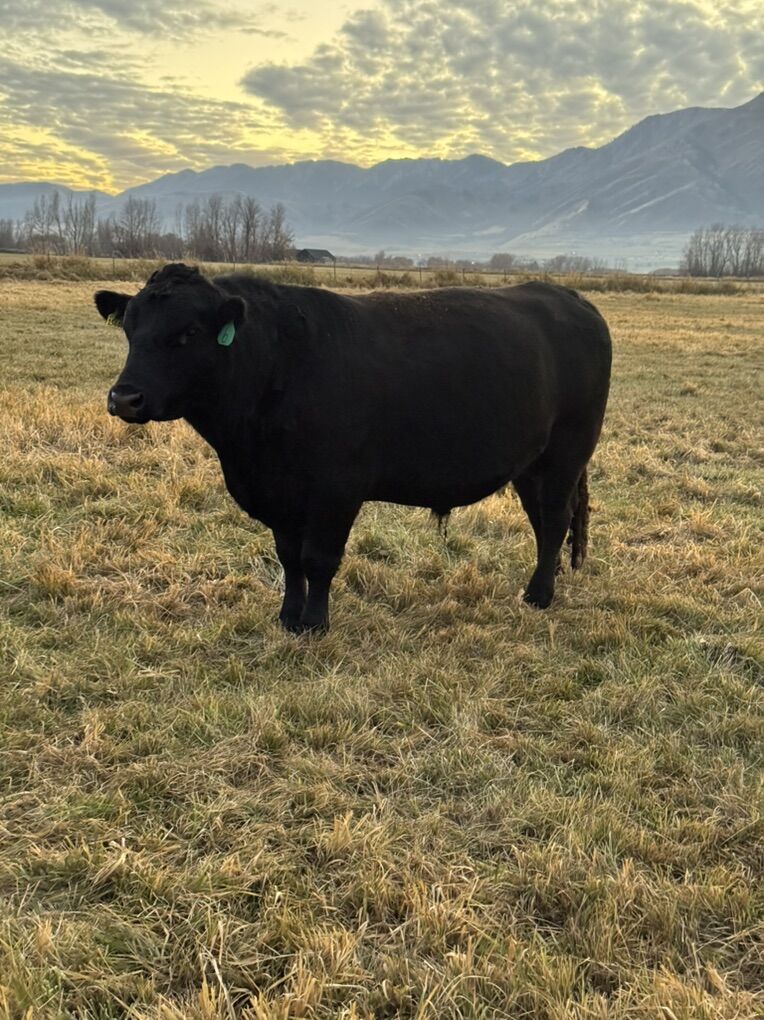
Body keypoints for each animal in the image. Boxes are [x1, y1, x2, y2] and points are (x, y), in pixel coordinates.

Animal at [95, 263, 611, 634]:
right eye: (129, 331)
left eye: (188, 333)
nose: (124, 398)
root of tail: (567, 296)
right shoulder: (279, 493)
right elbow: (289, 556)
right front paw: (288, 617)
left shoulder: (336, 489)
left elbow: (318, 558)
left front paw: (315, 623)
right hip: (530, 464)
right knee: (544, 522)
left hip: (566, 453)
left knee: (556, 520)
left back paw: (539, 595)